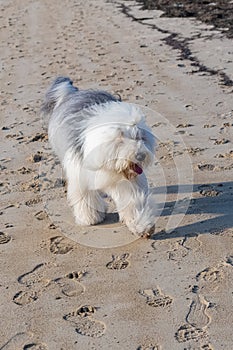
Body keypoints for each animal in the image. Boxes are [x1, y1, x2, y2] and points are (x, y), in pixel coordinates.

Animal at [41, 77, 156, 237]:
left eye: (140, 137)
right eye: (120, 140)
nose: (140, 155)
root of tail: (73, 93)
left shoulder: (128, 182)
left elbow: (133, 200)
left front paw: (142, 226)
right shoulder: (80, 174)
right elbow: (85, 197)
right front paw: (91, 218)